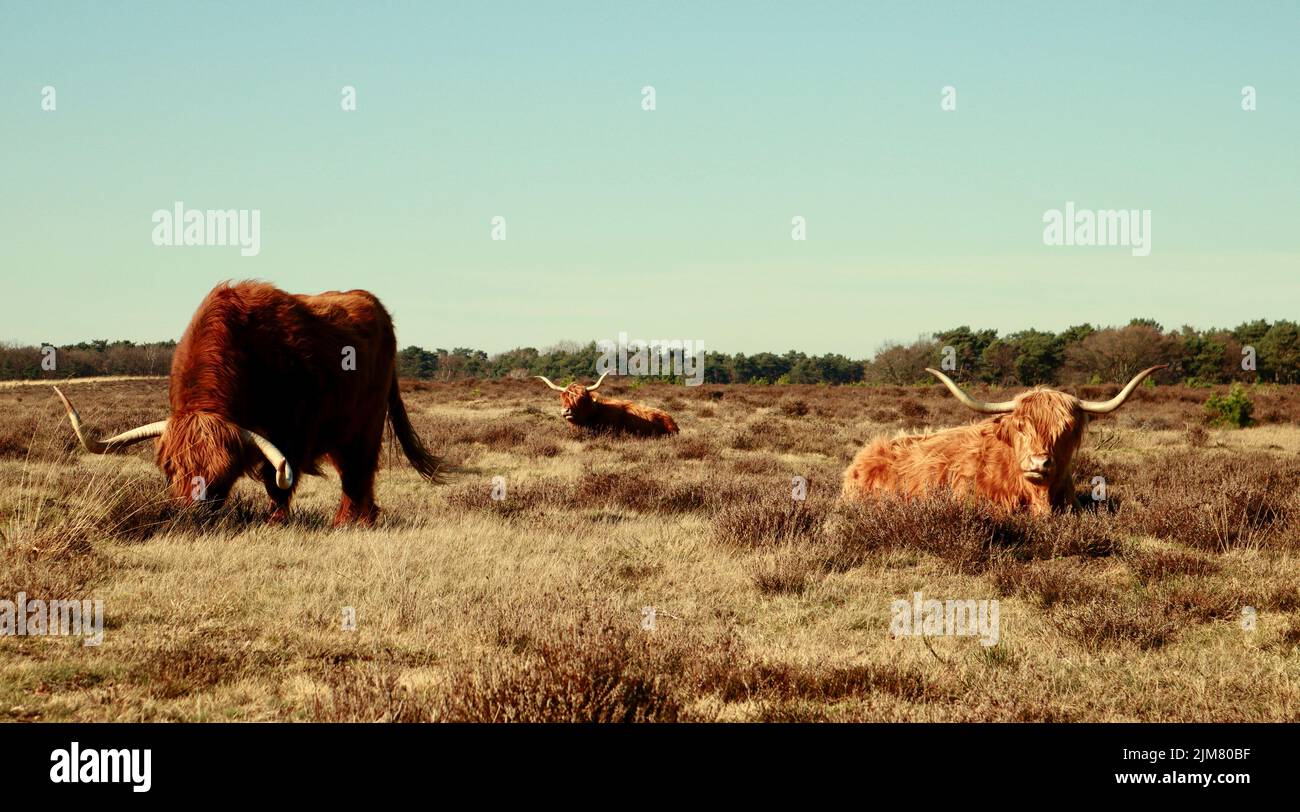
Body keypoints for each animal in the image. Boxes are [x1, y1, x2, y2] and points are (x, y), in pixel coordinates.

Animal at [54, 281, 441, 526]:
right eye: (170, 468)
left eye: (223, 473)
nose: (190, 515)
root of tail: (370, 301)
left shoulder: (293, 430)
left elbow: (278, 478)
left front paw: (275, 521)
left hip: (366, 423)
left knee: (358, 471)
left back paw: (351, 521)